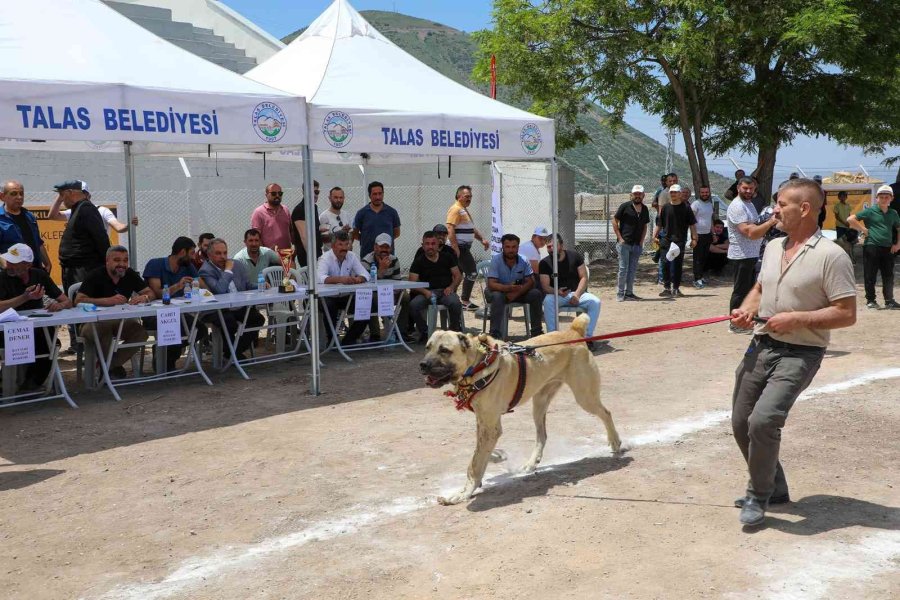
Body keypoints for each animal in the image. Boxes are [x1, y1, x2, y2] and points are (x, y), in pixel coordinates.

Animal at [420, 314, 620, 506]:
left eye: (444, 350)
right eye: (427, 347)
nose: (422, 365)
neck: (477, 364)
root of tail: (573, 331)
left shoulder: (490, 425)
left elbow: (474, 464)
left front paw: (462, 493)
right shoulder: (485, 422)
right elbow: (479, 451)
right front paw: (497, 456)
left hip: (584, 396)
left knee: (606, 413)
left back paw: (615, 442)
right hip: (540, 402)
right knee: (542, 435)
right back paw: (531, 464)